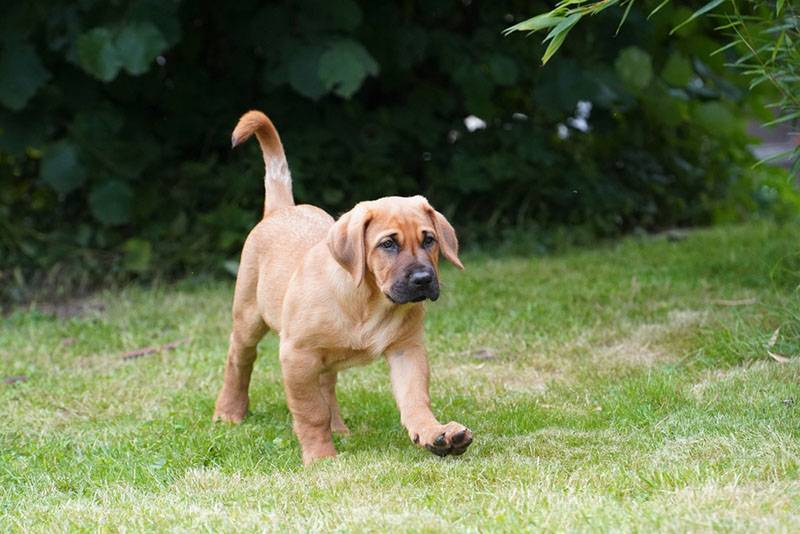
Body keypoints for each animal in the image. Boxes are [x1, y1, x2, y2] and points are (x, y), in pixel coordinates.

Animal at [214, 110, 476, 464]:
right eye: (388, 244)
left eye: (429, 240)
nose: (423, 279)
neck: (370, 302)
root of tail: (282, 208)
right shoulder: (297, 355)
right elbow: (311, 412)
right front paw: (320, 456)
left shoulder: (407, 349)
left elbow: (415, 399)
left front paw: (436, 433)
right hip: (249, 318)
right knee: (239, 360)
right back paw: (229, 412)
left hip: (323, 356)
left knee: (326, 387)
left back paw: (338, 428)